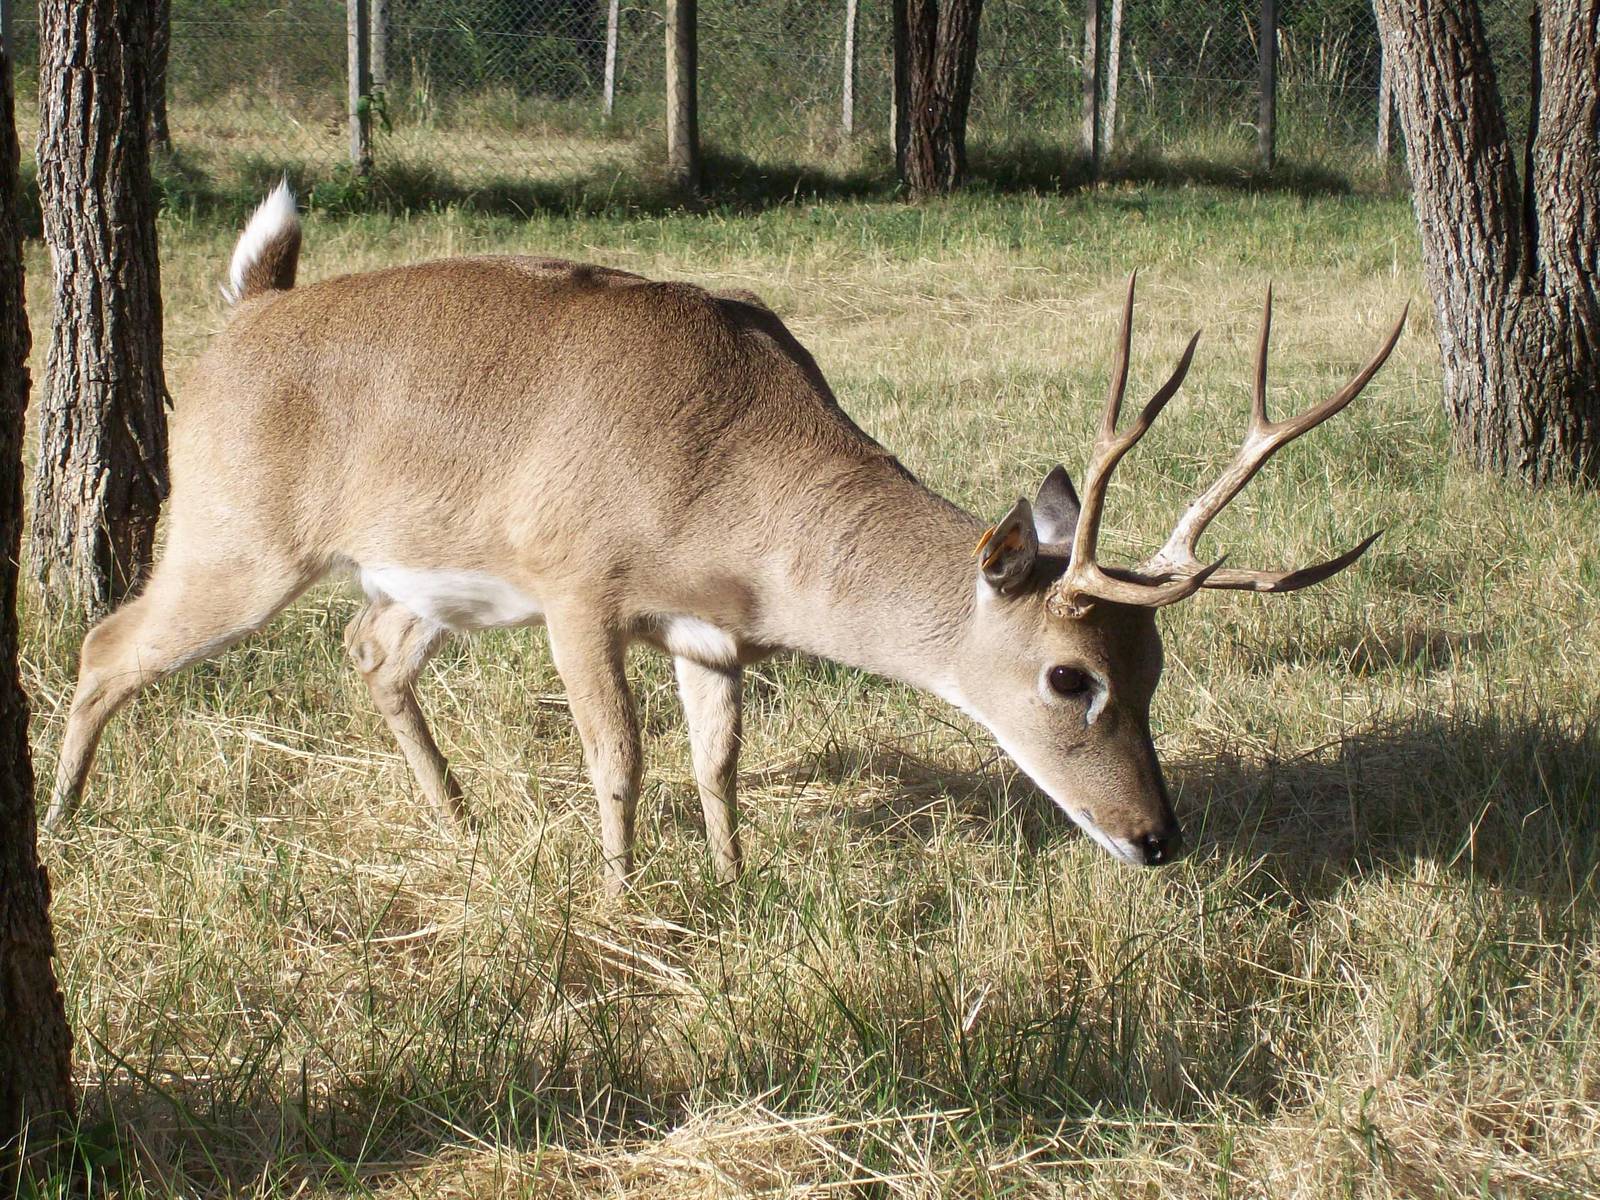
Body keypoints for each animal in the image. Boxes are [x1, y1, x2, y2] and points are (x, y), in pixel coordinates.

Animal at [43, 183, 1405, 887]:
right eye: (1069, 677)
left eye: (1155, 669)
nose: (1156, 837)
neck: (728, 498)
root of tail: (243, 317)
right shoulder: (575, 582)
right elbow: (620, 760)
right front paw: (619, 895)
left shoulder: (707, 633)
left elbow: (716, 764)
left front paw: (736, 885)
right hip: (235, 534)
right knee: (106, 642)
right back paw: (60, 822)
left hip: (423, 579)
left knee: (368, 652)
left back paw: (460, 822)